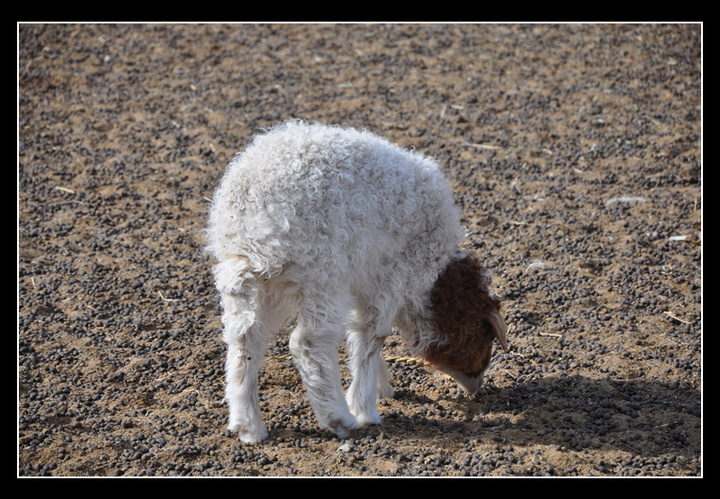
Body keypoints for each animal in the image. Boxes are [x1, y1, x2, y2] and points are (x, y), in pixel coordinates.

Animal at [205, 121, 506, 446]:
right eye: (482, 335)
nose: (477, 386)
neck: (435, 276)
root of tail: (253, 218)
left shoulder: (365, 282)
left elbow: (360, 335)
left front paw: (381, 386)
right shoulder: (392, 275)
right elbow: (373, 337)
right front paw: (364, 408)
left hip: (247, 279)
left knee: (243, 340)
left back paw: (248, 426)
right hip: (321, 272)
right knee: (307, 344)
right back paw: (339, 418)